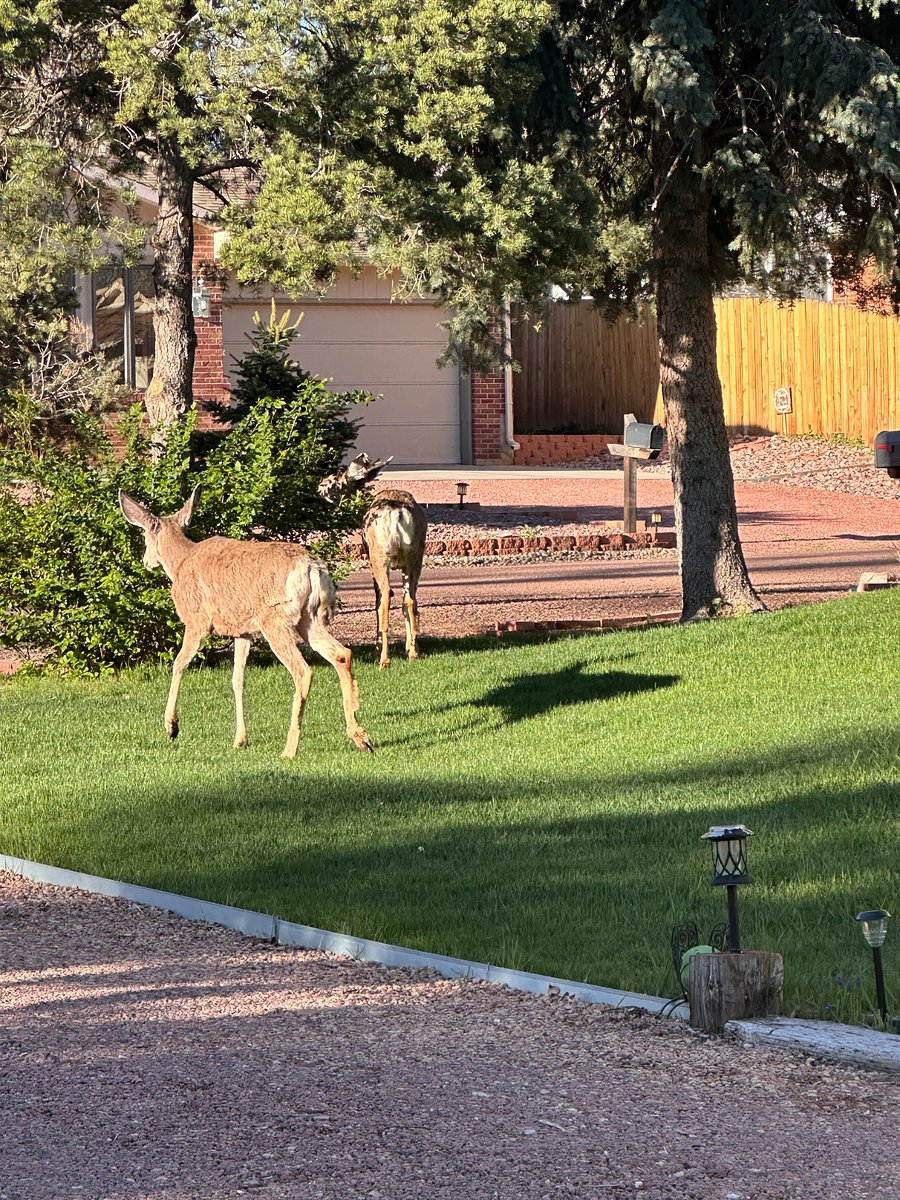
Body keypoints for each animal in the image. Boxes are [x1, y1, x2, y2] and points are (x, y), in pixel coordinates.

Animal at [118, 487, 373, 758]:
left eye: (145, 535)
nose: (146, 562)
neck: (180, 564)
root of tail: (313, 568)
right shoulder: (243, 631)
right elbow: (238, 680)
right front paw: (240, 740)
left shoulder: (196, 620)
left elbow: (178, 664)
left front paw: (171, 726)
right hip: (310, 618)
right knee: (341, 654)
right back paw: (361, 737)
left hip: (275, 618)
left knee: (303, 670)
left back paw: (289, 749)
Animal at [318, 453, 428, 670]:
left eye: (335, 479)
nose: (319, 486)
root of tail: (397, 513)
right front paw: (410, 648)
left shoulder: (369, 557)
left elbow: (377, 599)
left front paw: (377, 648)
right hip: (415, 555)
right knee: (410, 600)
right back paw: (413, 652)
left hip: (379, 555)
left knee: (385, 596)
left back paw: (383, 659)